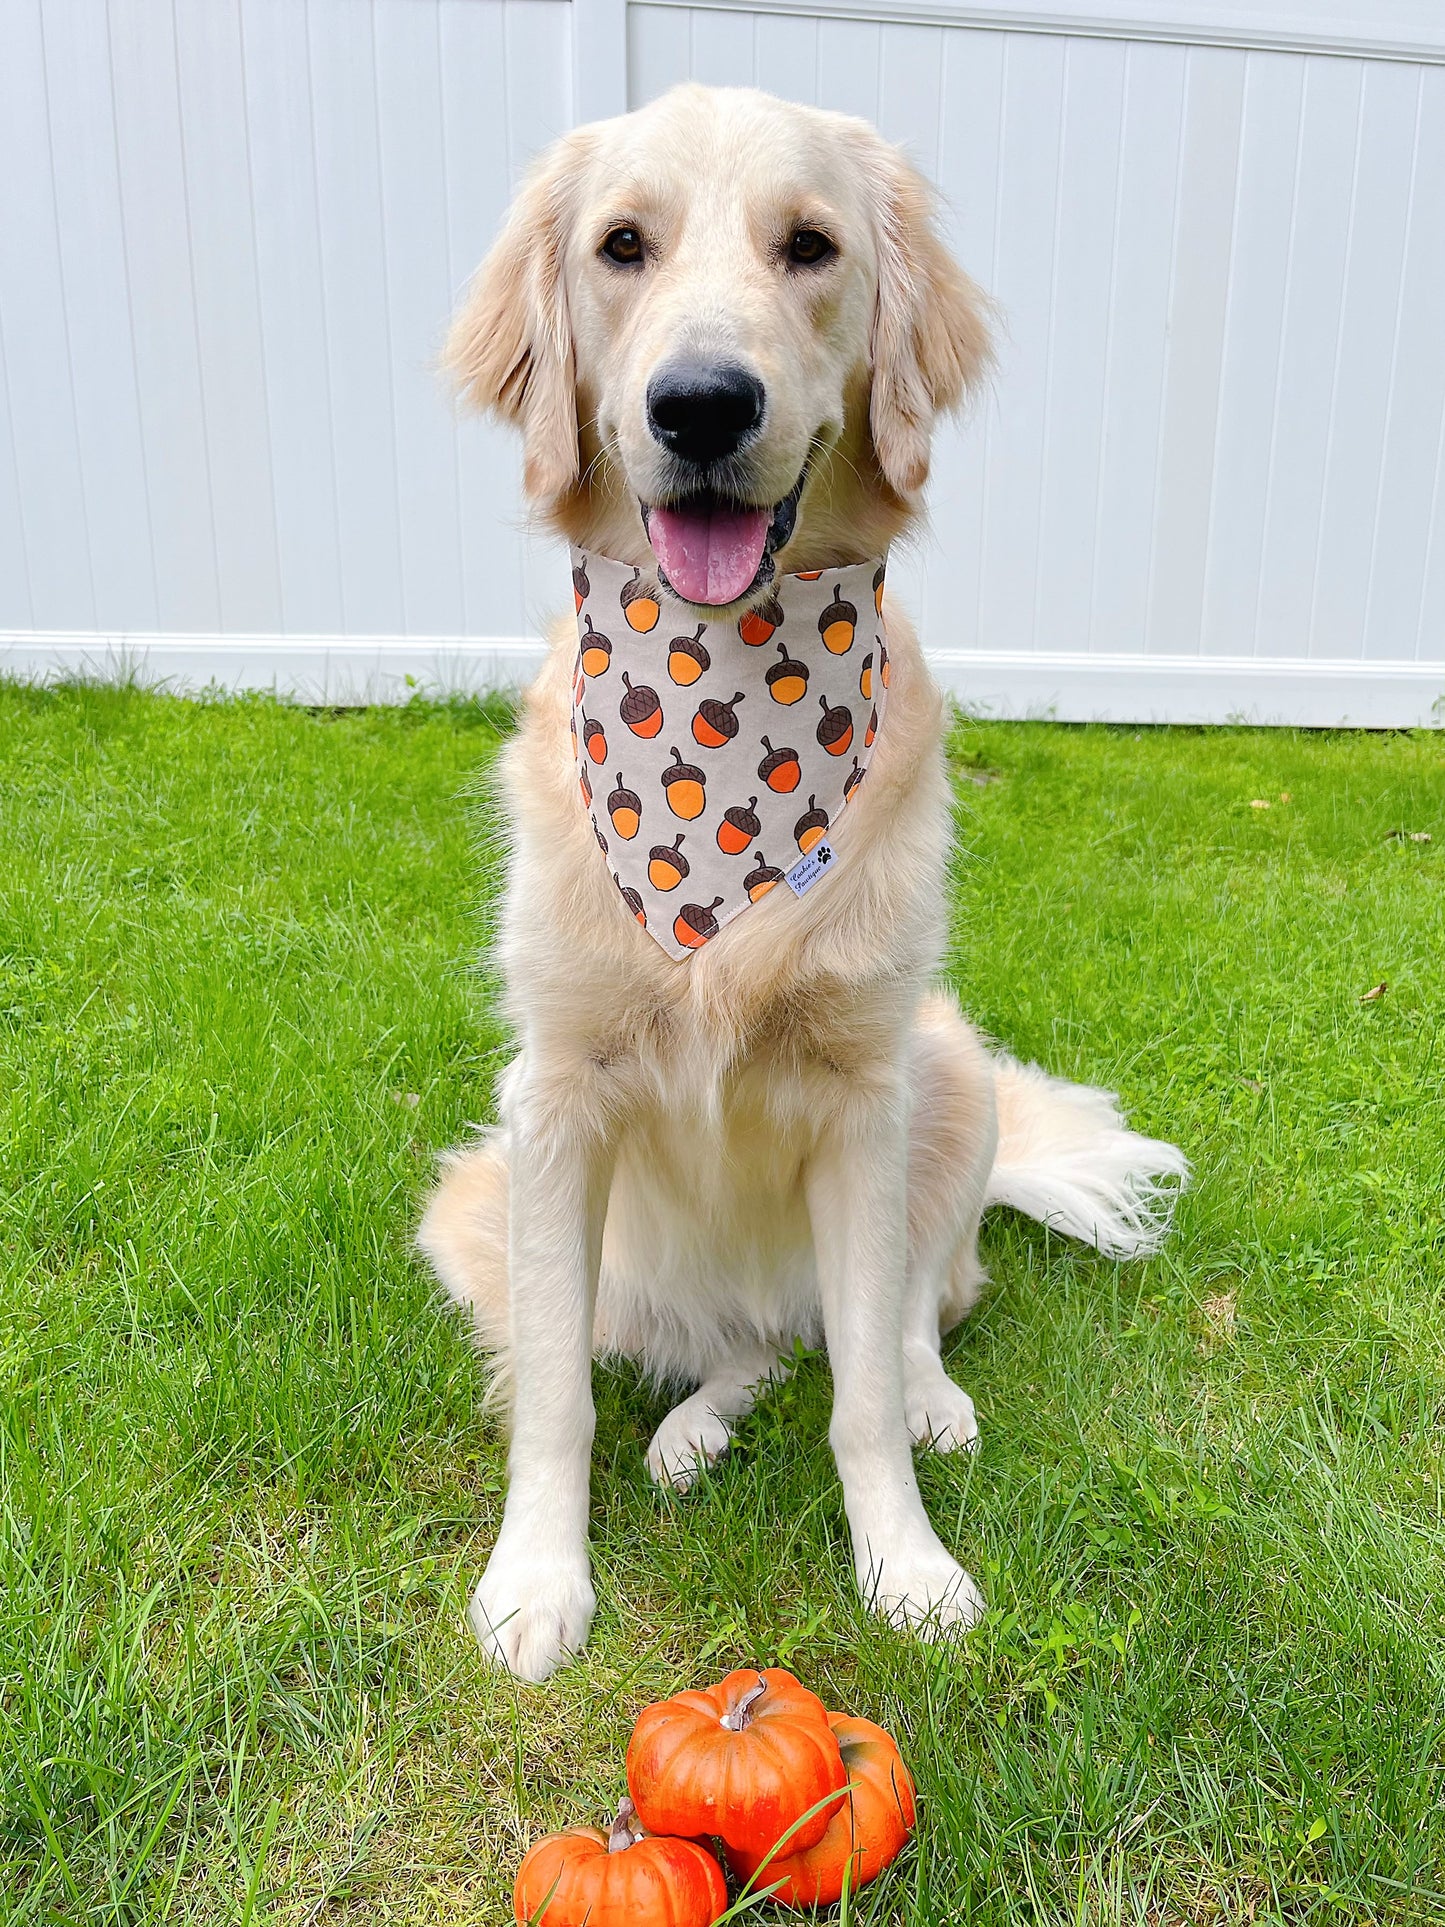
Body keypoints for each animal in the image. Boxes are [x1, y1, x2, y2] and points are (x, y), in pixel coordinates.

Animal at [418, 86, 1186, 1688]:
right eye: (622, 246)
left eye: (810, 246)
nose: (701, 406)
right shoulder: (551, 1097)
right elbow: (555, 1399)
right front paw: (537, 1578)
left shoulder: (861, 1092)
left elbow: (866, 1397)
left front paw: (906, 1564)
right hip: (487, 1209)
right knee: (740, 1349)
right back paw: (693, 1426)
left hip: (945, 1072)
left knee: (897, 1318)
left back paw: (918, 1394)